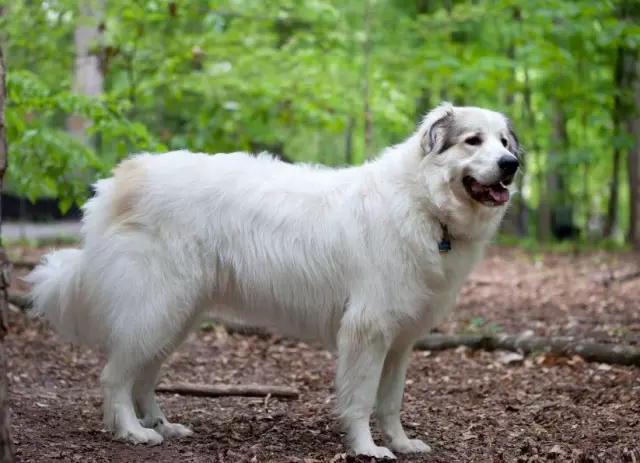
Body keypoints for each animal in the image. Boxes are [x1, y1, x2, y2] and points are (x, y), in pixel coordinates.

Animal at [26, 102, 520, 460]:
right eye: (473, 141)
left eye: (503, 141)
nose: (512, 163)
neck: (424, 204)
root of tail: (120, 180)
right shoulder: (368, 330)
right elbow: (361, 399)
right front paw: (368, 449)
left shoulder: (399, 341)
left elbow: (391, 401)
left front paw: (400, 443)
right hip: (156, 307)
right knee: (115, 377)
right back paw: (132, 431)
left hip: (175, 315)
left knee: (143, 376)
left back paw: (162, 425)